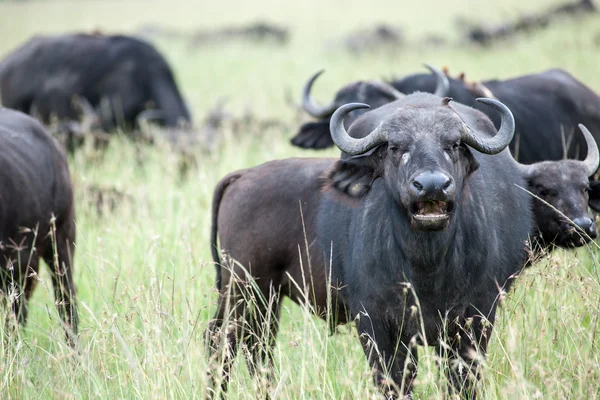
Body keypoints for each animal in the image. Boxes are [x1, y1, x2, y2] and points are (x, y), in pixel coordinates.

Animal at [207, 94, 600, 396]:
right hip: (243, 288)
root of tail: (241, 176)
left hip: (263, 297)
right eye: (396, 148)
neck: (427, 265)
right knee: (222, 342)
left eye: (454, 145)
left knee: (256, 347)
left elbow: (461, 381)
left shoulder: (474, 321)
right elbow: (395, 381)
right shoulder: (376, 326)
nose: (432, 186)